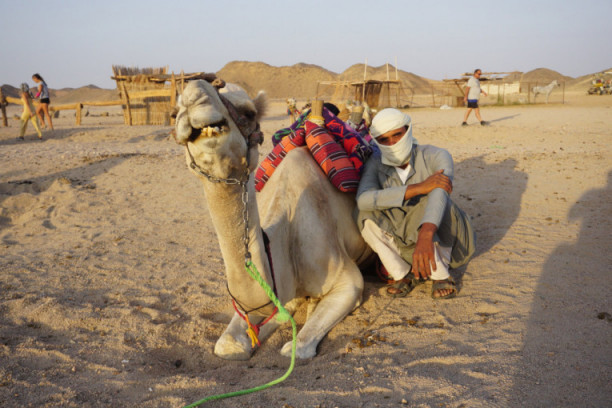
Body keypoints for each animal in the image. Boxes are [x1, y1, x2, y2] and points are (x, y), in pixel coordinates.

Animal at [173, 79, 372, 360]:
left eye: (249, 112)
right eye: (175, 112)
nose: (194, 95)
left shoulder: (348, 280)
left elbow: (296, 349)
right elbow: (227, 345)